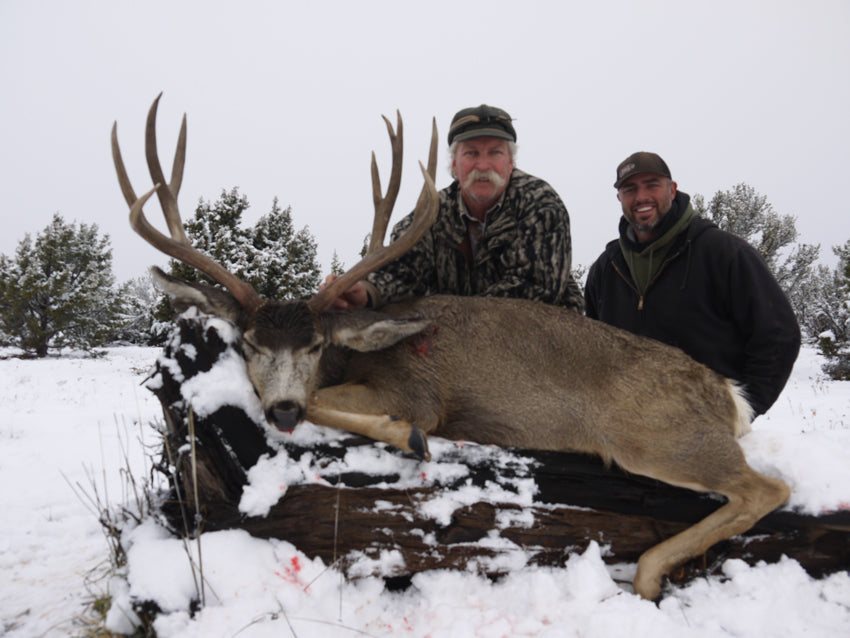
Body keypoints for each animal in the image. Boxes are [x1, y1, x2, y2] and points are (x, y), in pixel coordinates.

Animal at [111, 95, 788, 600]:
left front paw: (407, 436)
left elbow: (368, 409)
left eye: (315, 345)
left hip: (658, 436)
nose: (280, 409)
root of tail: (727, 395)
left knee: (766, 489)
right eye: (250, 343)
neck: (356, 352)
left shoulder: (415, 391)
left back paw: (647, 575)